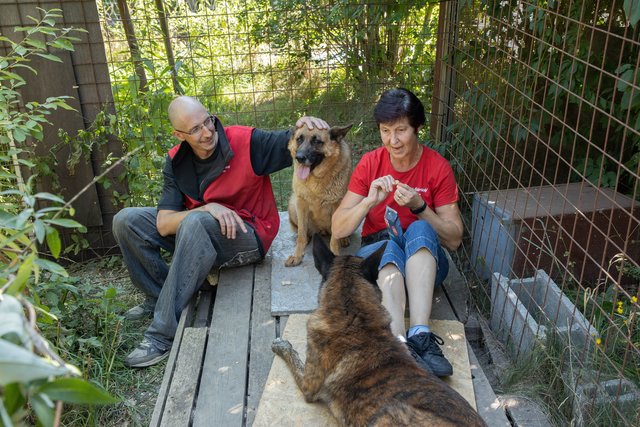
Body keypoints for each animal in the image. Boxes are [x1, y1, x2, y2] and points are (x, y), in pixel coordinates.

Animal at [286, 123, 352, 268]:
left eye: (317, 141)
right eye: (299, 139)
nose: (299, 158)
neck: (315, 179)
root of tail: (322, 230)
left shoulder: (336, 206)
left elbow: (334, 240)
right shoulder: (301, 202)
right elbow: (301, 234)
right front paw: (297, 256)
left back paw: (343, 239)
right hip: (293, 204)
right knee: (303, 231)